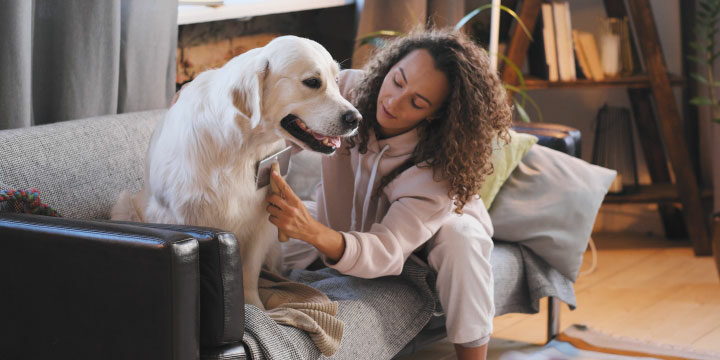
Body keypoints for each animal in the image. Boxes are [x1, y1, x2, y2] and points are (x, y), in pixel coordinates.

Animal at [112, 36, 360, 310]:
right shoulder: (176, 215)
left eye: (336, 80)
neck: (240, 147)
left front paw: (255, 308)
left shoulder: (263, 220)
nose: (356, 118)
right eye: (312, 82)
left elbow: (249, 273)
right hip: (123, 205)